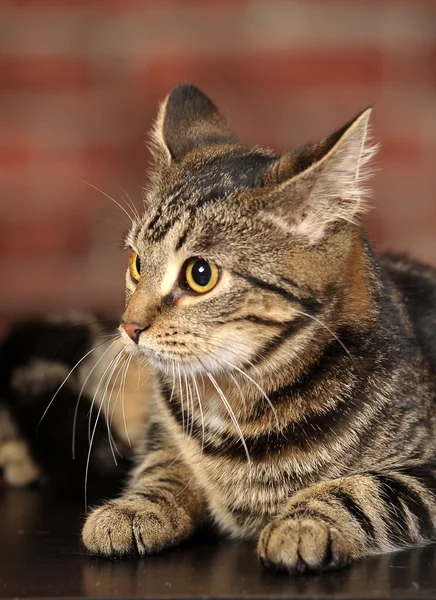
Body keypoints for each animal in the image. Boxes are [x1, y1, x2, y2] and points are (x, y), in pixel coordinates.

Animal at [81, 83, 436, 572]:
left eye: (200, 274)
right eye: (136, 263)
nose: (129, 326)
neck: (235, 403)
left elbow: (366, 489)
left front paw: (304, 522)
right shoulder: (164, 432)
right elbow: (162, 463)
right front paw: (136, 506)